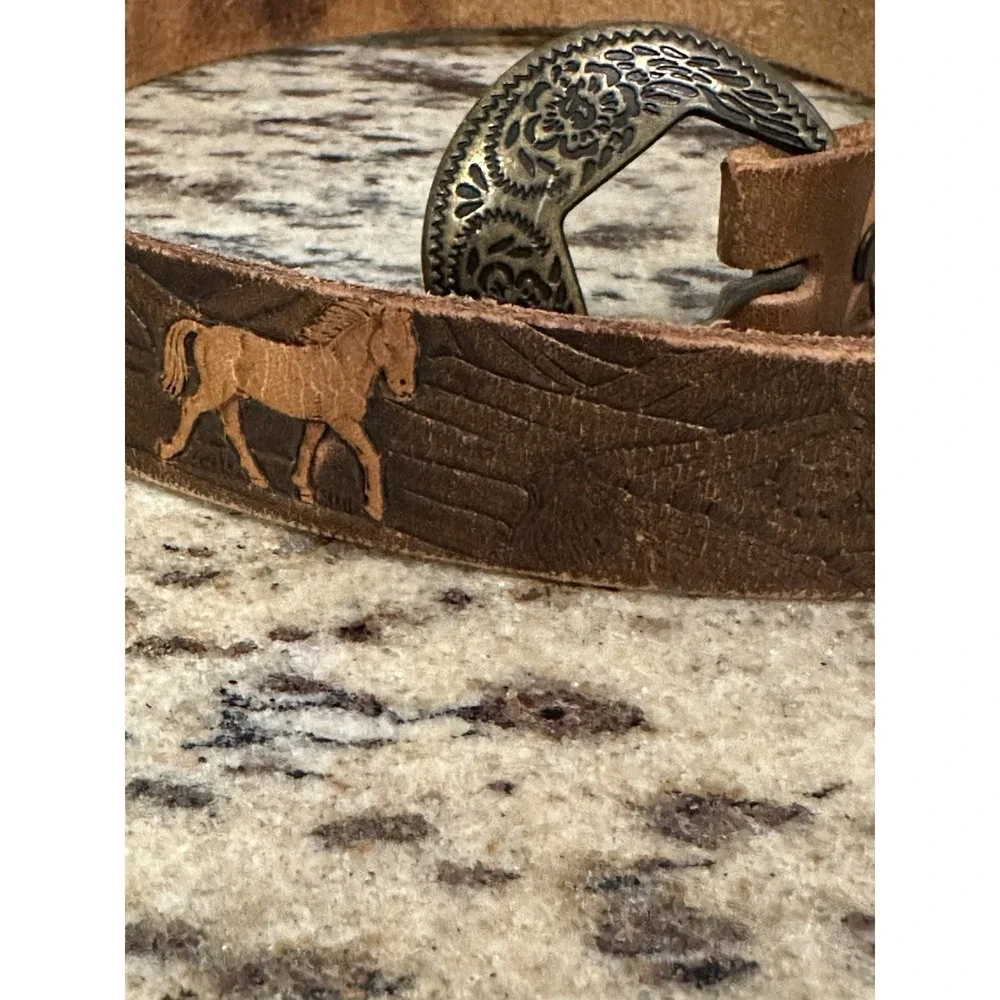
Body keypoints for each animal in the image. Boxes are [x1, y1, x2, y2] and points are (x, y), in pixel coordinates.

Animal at [157, 299, 418, 521]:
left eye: (413, 349)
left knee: (234, 431)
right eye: (388, 345)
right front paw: (375, 509)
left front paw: (304, 490)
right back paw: (168, 451)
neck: (341, 366)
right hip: (216, 391)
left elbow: (307, 448)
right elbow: (369, 454)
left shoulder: (317, 420)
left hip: (231, 397)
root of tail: (205, 330)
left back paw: (259, 477)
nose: (405, 388)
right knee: (191, 406)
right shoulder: (342, 420)